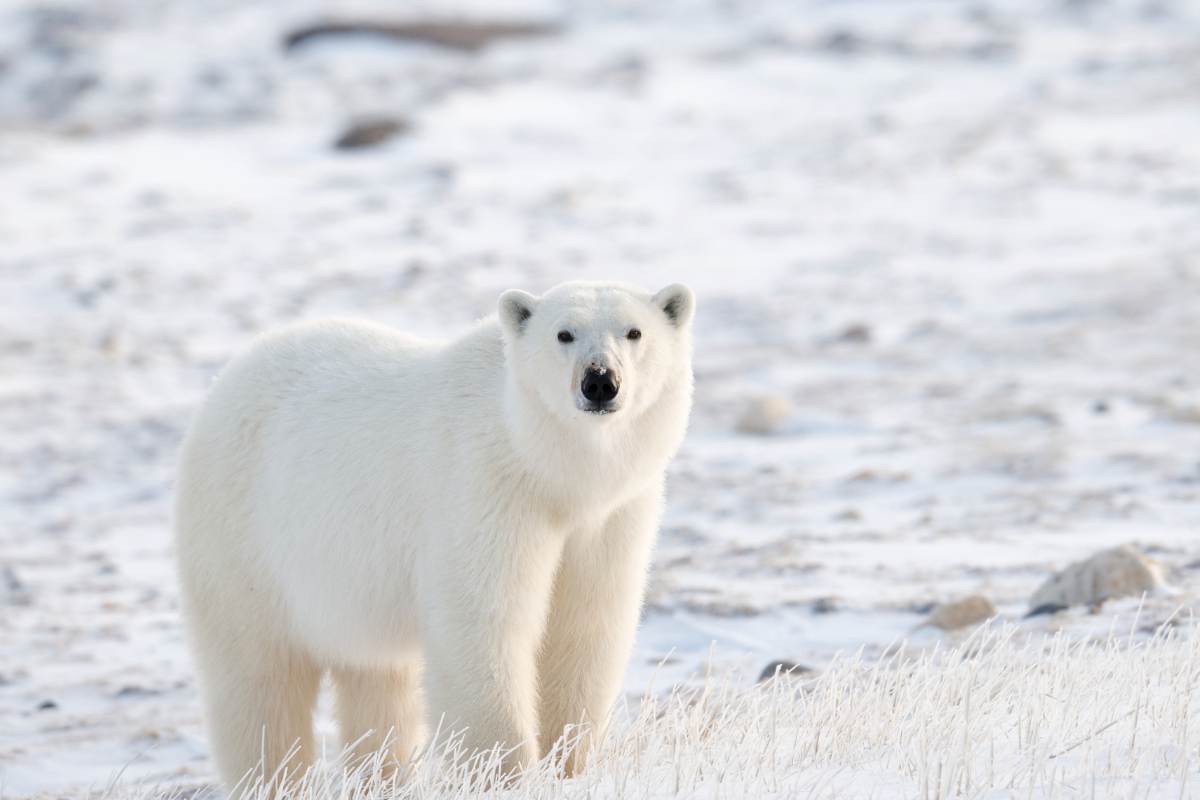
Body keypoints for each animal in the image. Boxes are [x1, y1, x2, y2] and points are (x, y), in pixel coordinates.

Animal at [173, 280, 695, 792]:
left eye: (634, 332)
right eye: (564, 334)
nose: (600, 381)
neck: (548, 471)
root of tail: (228, 378)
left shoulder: (610, 517)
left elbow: (585, 626)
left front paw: (568, 766)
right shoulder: (485, 490)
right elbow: (484, 624)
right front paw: (504, 774)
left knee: (377, 682)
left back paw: (382, 778)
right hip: (243, 541)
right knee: (259, 681)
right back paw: (273, 778)